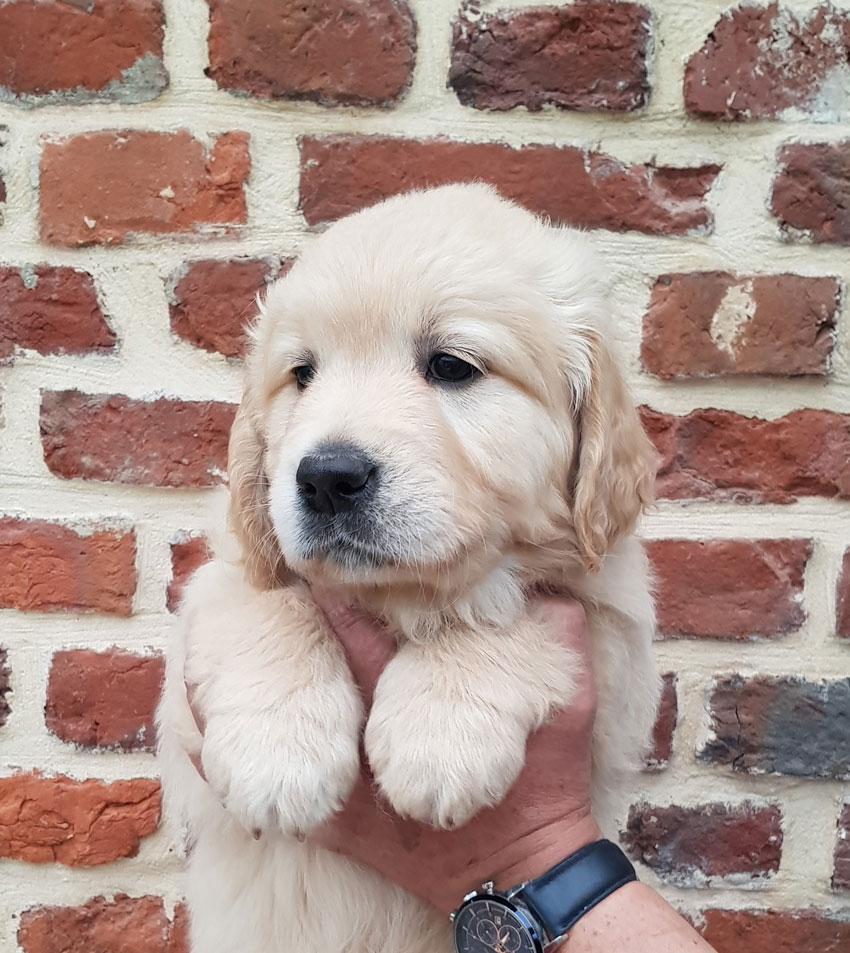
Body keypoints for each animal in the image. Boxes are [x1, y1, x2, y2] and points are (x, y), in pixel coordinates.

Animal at [156, 180, 660, 952]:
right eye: (302, 375)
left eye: (451, 366)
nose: (326, 477)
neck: (399, 596)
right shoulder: (223, 583)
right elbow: (268, 603)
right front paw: (279, 755)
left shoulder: (614, 638)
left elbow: (506, 613)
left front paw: (439, 738)